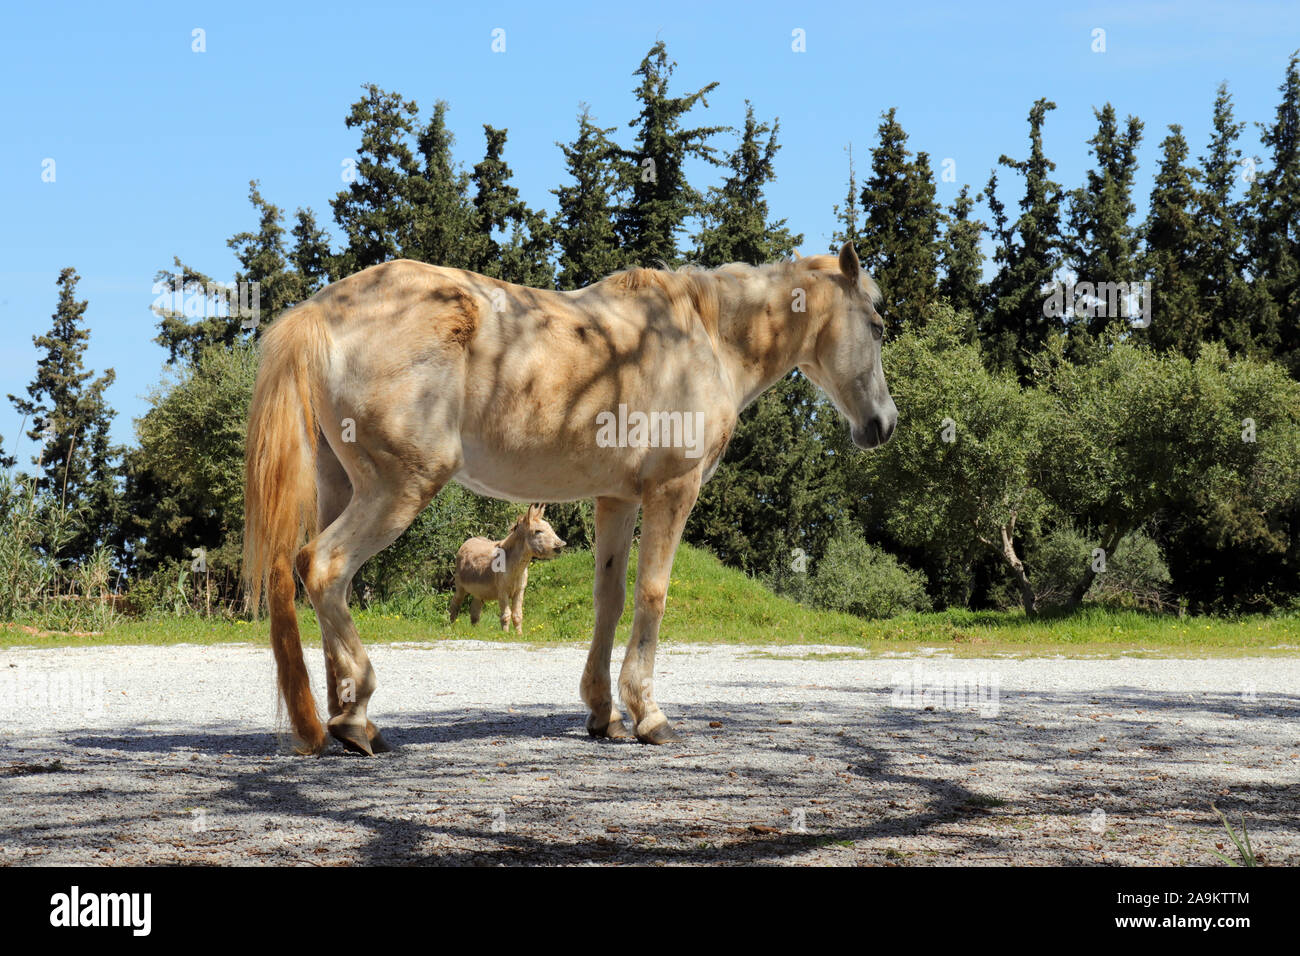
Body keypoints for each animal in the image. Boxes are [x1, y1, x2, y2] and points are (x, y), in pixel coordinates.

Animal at [449, 504, 566, 632]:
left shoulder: (519, 590)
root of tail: (469, 540)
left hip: (479, 592)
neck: (517, 567)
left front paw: (519, 634)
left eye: (550, 527)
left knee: (475, 610)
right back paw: (452, 628)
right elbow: (506, 615)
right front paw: (505, 634)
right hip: (460, 587)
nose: (562, 544)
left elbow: (518, 615)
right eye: (538, 531)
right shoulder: (502, 591)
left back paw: (476, 631)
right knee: (455, 604)